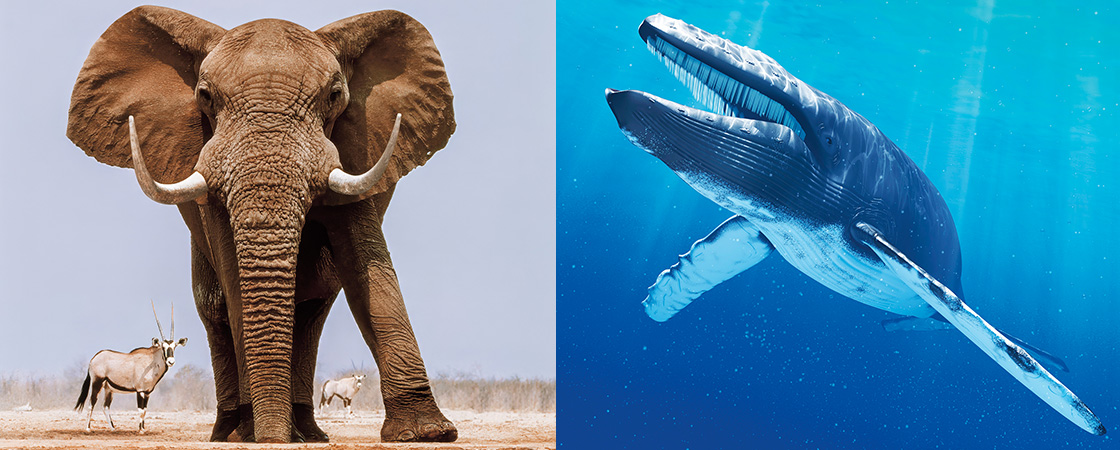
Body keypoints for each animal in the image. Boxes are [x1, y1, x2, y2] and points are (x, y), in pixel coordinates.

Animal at [67, 6, 457, 443]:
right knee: (215, 310)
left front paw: (427, 434)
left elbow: (366, 268)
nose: (272, 437)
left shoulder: (356, 150)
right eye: (204, 96)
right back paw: (233, 431)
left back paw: (306, 432)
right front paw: (253, 434)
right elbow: (234, 279)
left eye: (335, 96)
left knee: (313, 311)